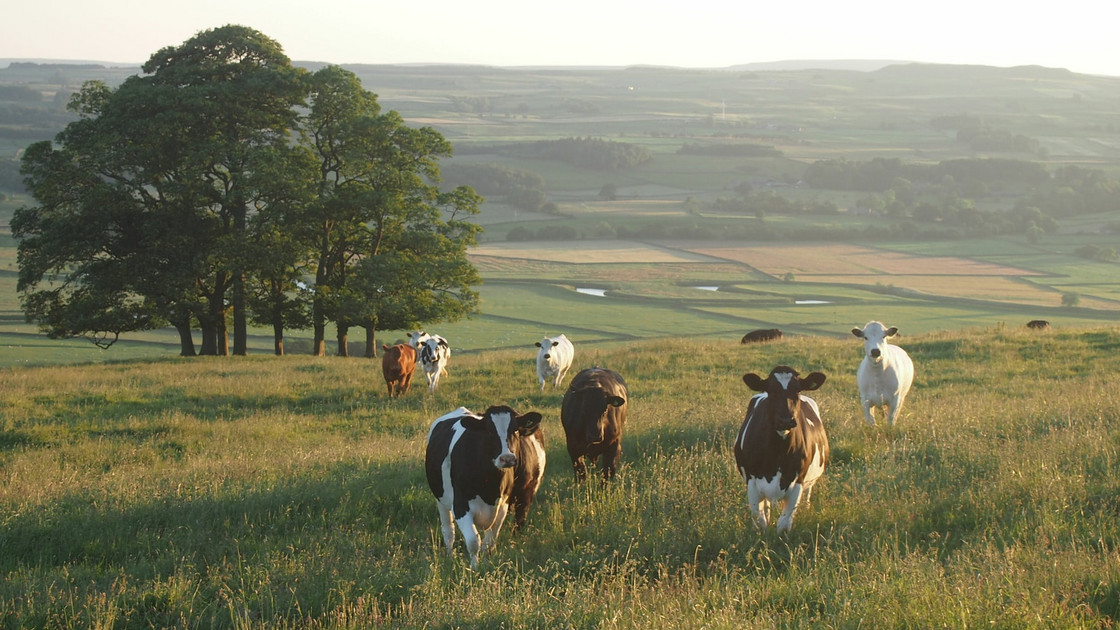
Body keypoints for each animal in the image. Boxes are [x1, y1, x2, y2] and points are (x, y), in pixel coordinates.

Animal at [423, 403, 546, 567]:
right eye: (489, 431)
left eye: (515, 429)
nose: (507, 458)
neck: (490, 486)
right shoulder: (460, 506)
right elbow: (473, 541)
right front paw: (474, 567)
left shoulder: (504, 505)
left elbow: (489, 542)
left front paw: (486, 564)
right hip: (440, 499)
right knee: (448, 531)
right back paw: (450, 556)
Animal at [734, 363, 833, 529]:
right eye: (771, 390)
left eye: (797, 390)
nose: (786, 420)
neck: (777, 453)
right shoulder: (752, 483)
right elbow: (760, 521)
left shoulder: (797, 482)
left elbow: (784, 524)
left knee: (807, 495)